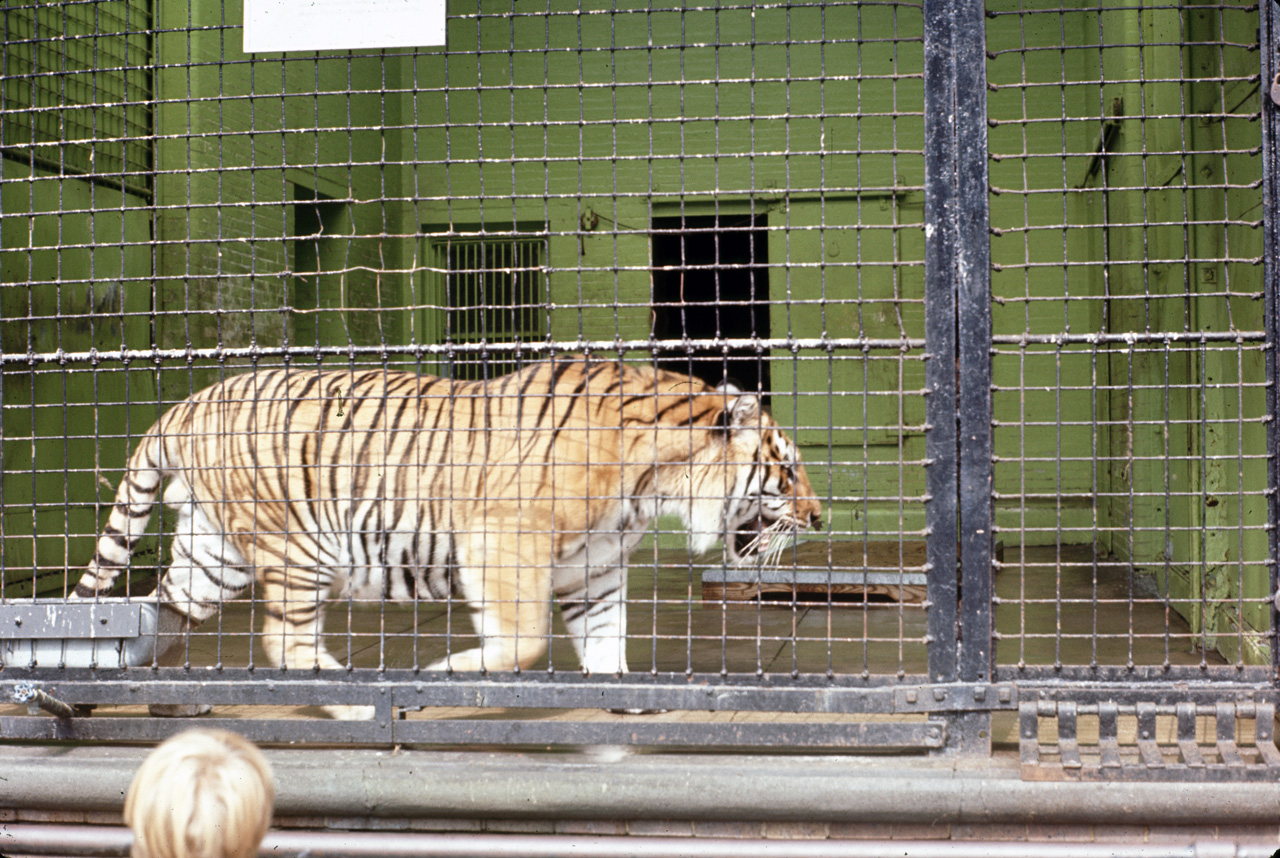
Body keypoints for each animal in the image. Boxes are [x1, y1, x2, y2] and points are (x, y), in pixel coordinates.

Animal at [74, 356, 824, 717]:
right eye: (786, 471)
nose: (820, 517)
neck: (654, 485)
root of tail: (187, 403)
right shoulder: (502, 542)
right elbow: (524, 643)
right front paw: (442, 678)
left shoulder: (596, 572)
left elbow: (607, 644)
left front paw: (625, 698)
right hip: (295, 546)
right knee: (286, 645)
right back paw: (361, 706)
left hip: (213, 558)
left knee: (162, 609)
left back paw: (166, 696)